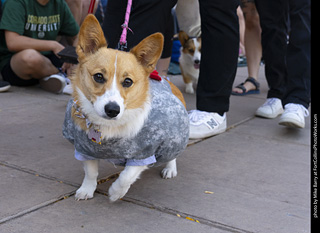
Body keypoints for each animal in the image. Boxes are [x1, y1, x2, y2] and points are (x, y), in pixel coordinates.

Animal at [62, 15, 190, 203]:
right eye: (98, 76)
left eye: (128, 81)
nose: (112, 110)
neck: (107, 127)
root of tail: (165, 78)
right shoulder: (85, 150)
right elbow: (91, 172)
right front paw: (86, 190)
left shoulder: (143, 154)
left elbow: (127, 175)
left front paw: (116, 192)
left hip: (174, 137)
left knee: (172, 154)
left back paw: (170, 169)